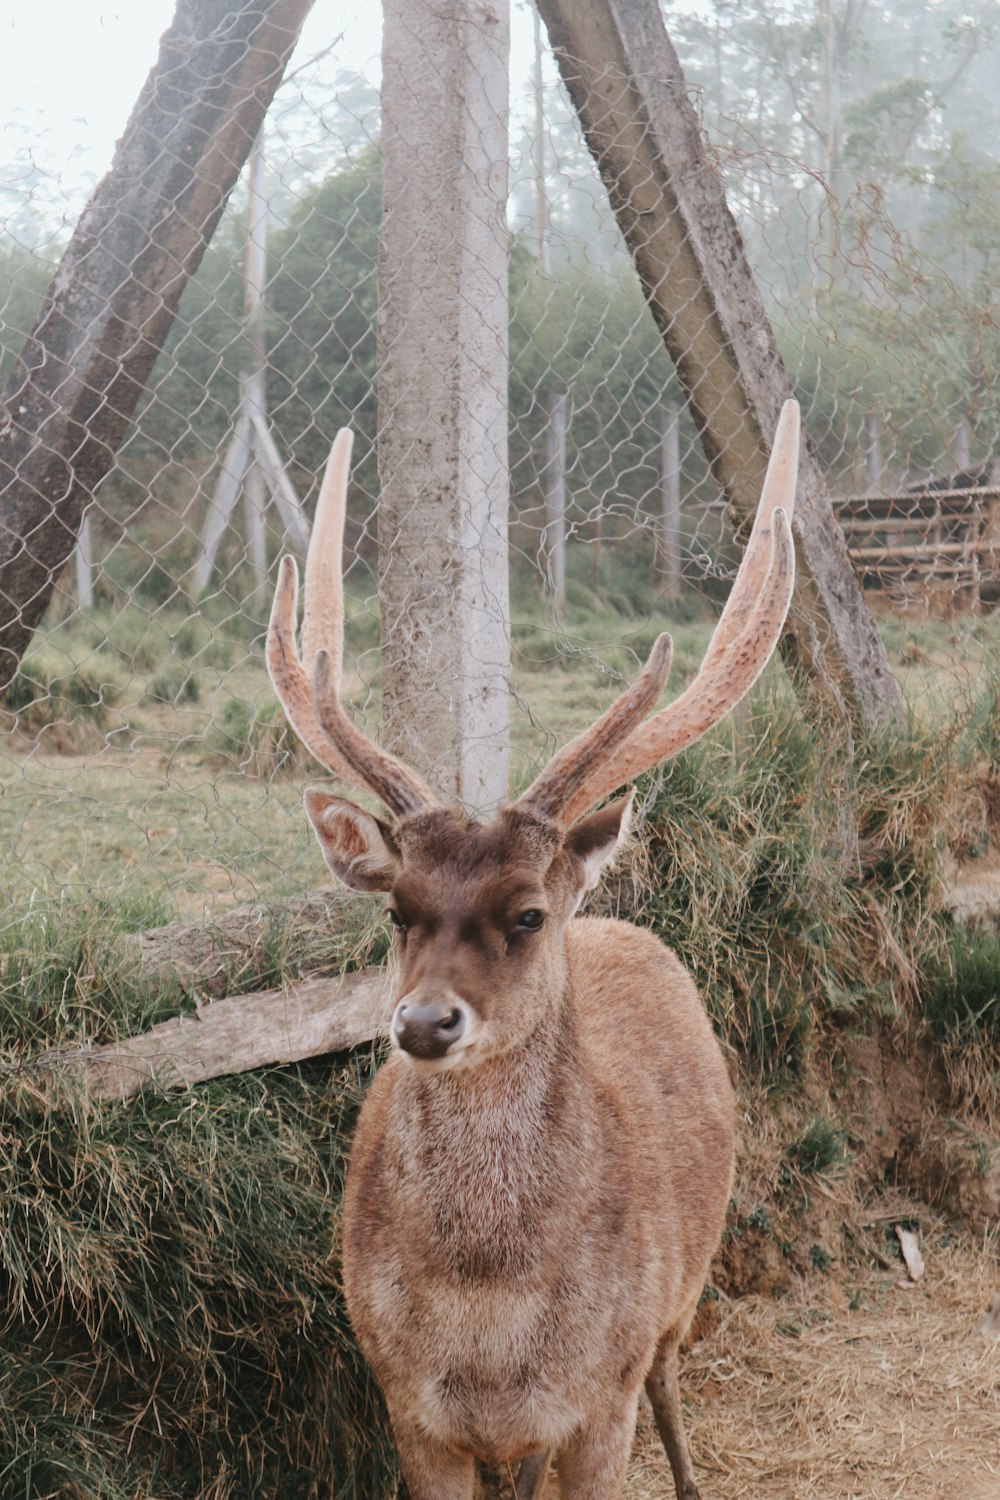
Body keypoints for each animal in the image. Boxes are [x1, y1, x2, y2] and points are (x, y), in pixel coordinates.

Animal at [263, 402, 797, 1500]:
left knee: (673, 1376)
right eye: (398, 911)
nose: (425, 1021)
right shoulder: (409, 1407)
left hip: (685, 1286)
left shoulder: (601, 1397)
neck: (492, 1325)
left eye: (527, 914)